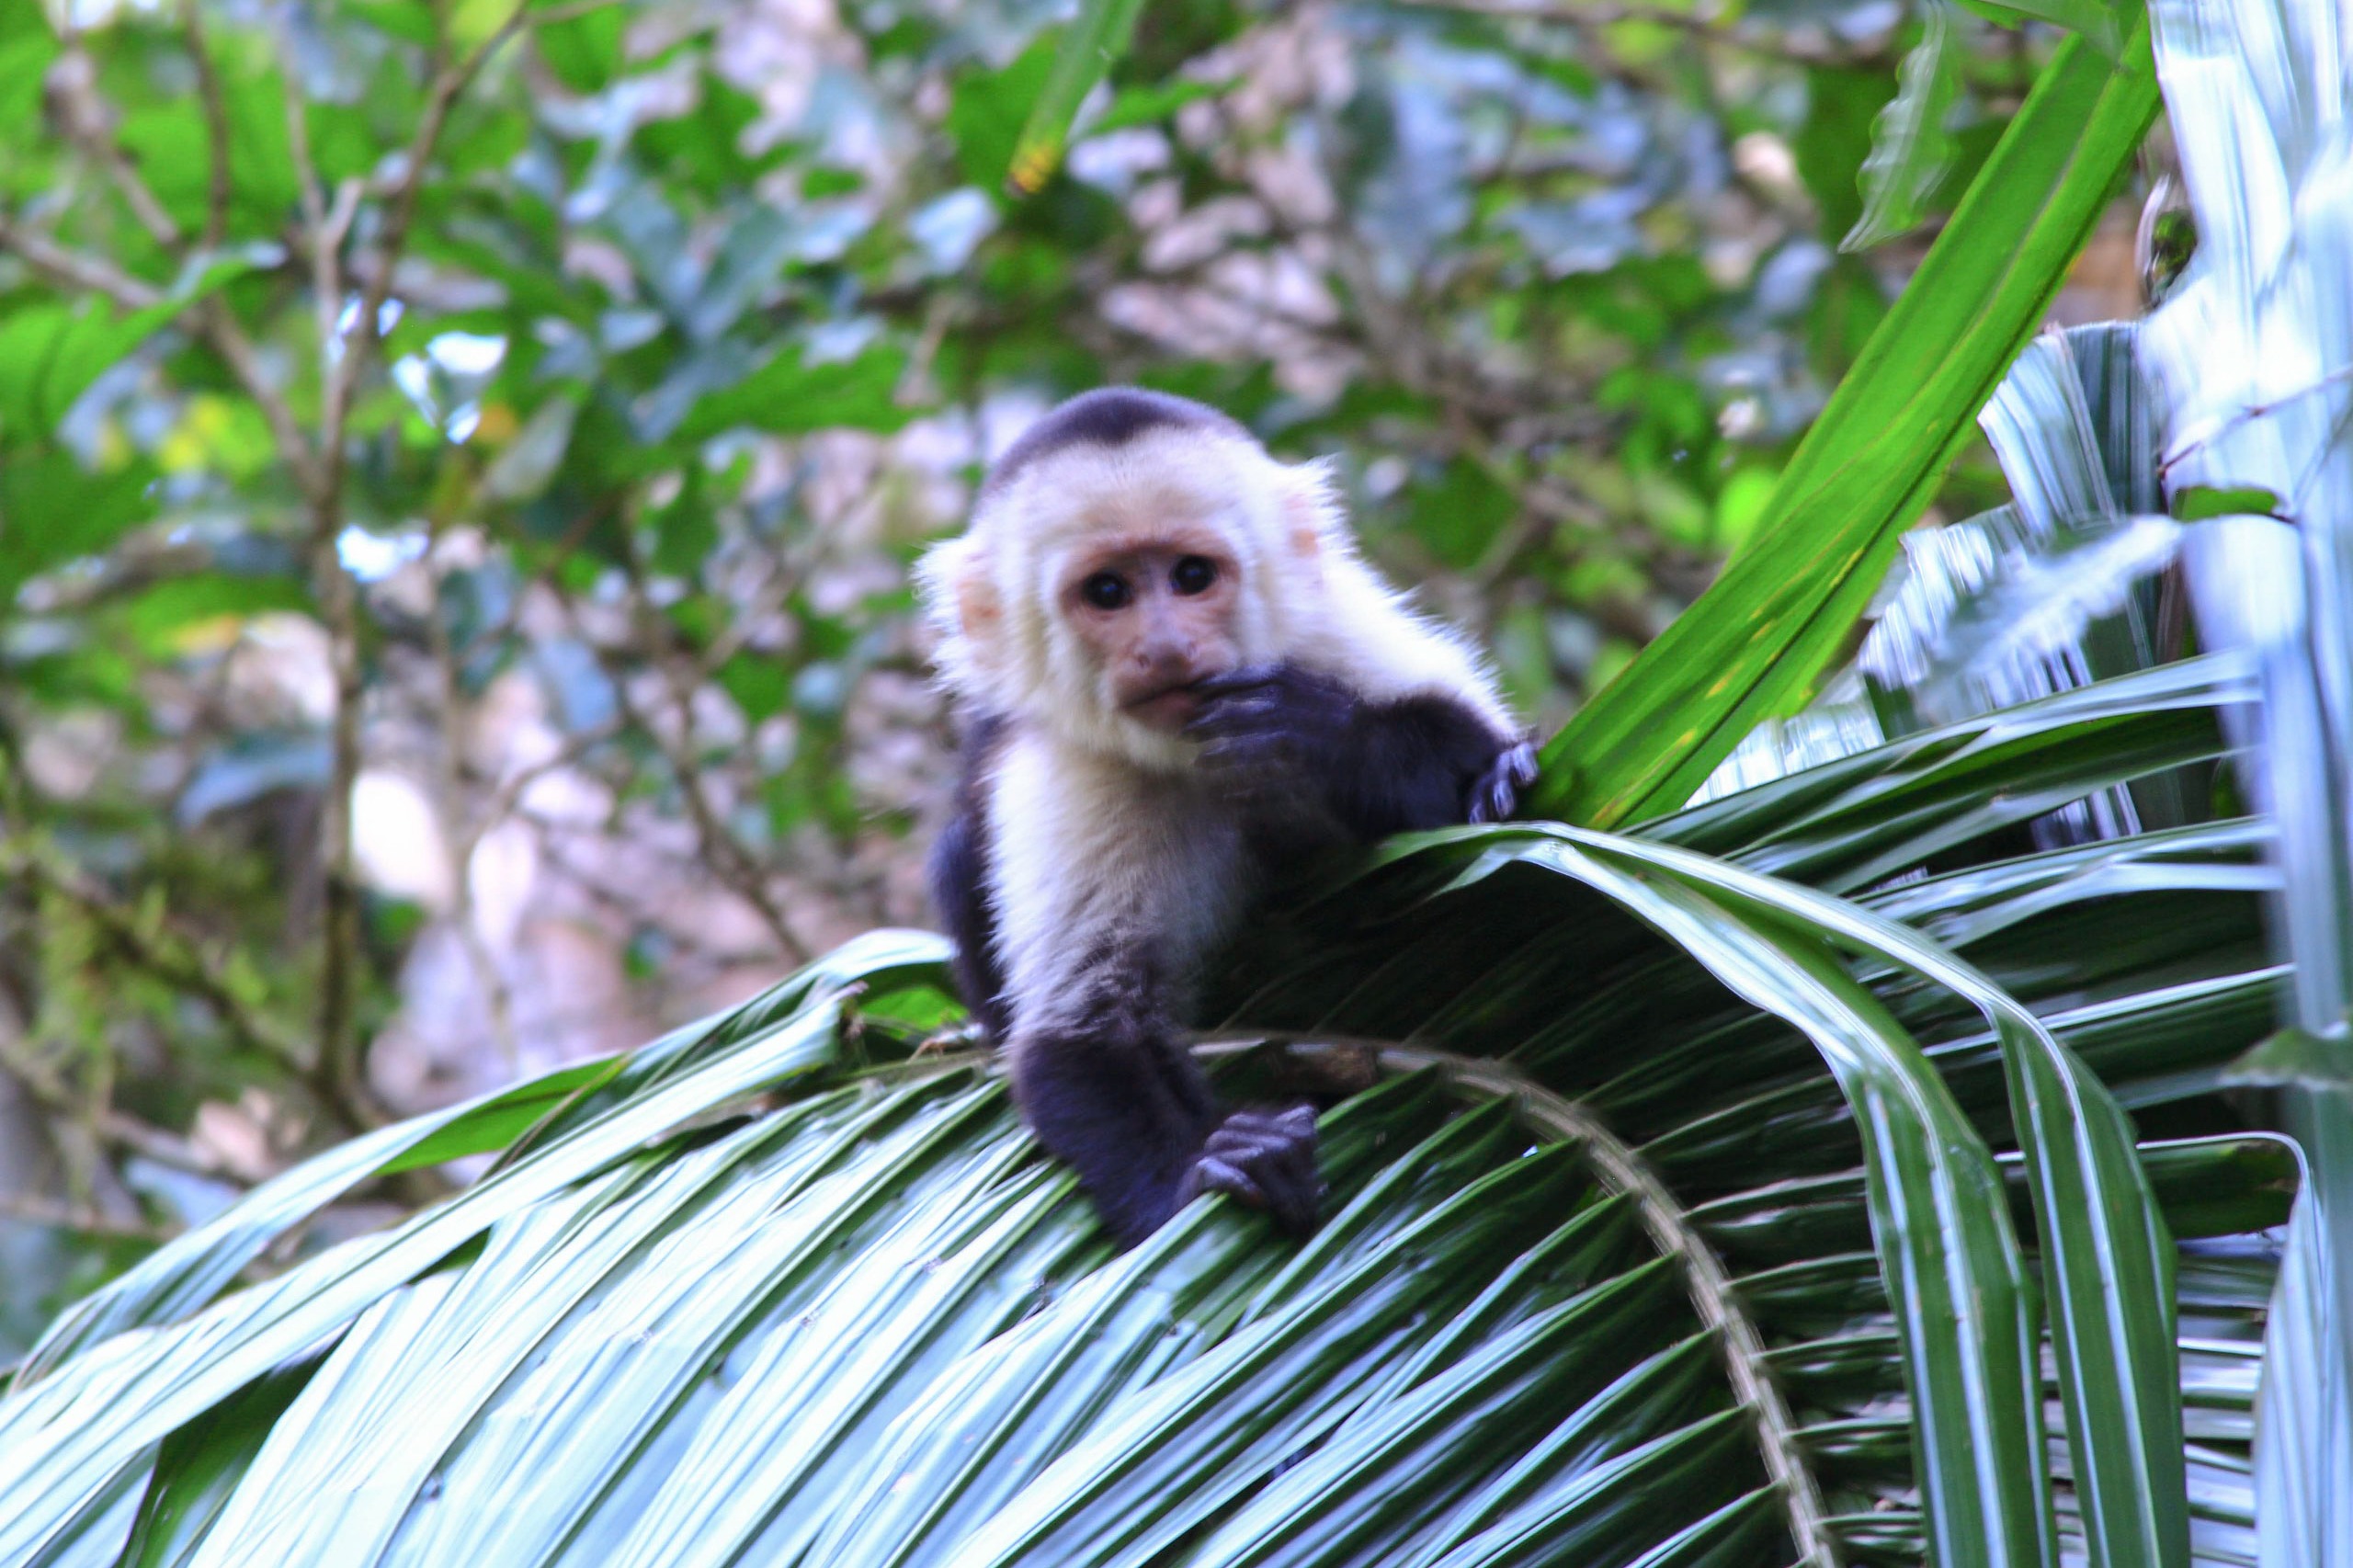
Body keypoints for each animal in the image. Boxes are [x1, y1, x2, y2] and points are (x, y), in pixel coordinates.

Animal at [920, 388, 1536, 1245]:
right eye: (1107, 592)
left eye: (1191, 576)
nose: (1167, 648)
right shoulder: (1076, 768)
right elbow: (1081, 1031)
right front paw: (1195, 1175)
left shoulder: (1327, 624)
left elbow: (1470, 738)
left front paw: (1327, 742)